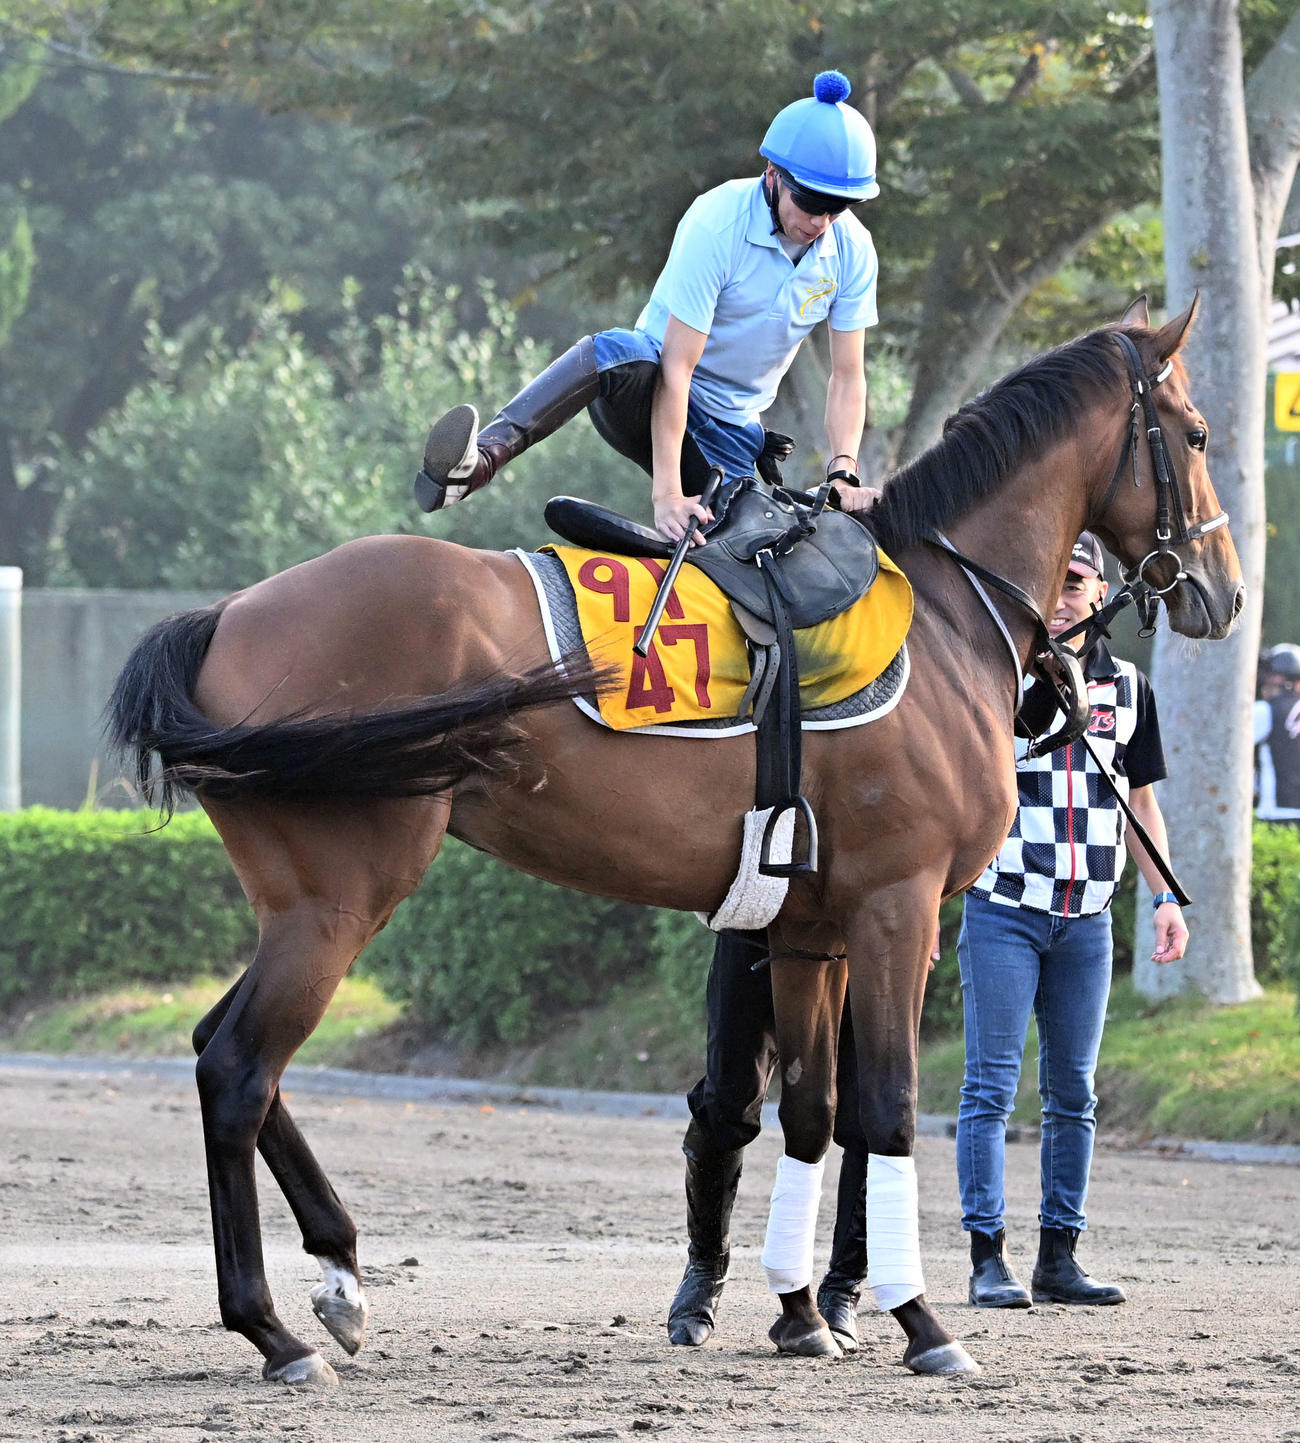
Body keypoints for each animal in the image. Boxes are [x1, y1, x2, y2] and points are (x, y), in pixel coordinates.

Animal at [107, 296, 1242, 1387]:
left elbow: (810, 1113)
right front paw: (919, 1321)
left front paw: (801, 1313)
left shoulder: (811, 929)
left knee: (219, 1048)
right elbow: (884, 1110)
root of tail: (227, 616)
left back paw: (339, 1271)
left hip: (303, 900)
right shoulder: (898, 909)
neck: (944, 612)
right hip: (342, 895)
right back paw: (271, 1329)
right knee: (239, 1071)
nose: (1222, 589)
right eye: (1194, 431)